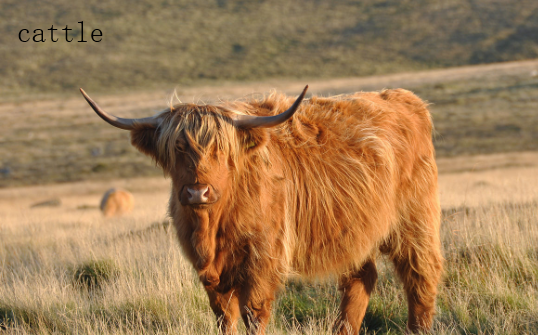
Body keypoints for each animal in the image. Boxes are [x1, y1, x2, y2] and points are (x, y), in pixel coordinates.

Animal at [79, 85, 440, 334]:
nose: (197, 191)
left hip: (415, 222)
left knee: (421, 276)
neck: (212, 227)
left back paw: (418, 327)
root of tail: (404, 99)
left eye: (221, 149)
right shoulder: (209, 272)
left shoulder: (263, 258)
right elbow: (224, 317)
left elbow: (254, 313)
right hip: (355, 231)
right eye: (178, 148)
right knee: (360, 280)